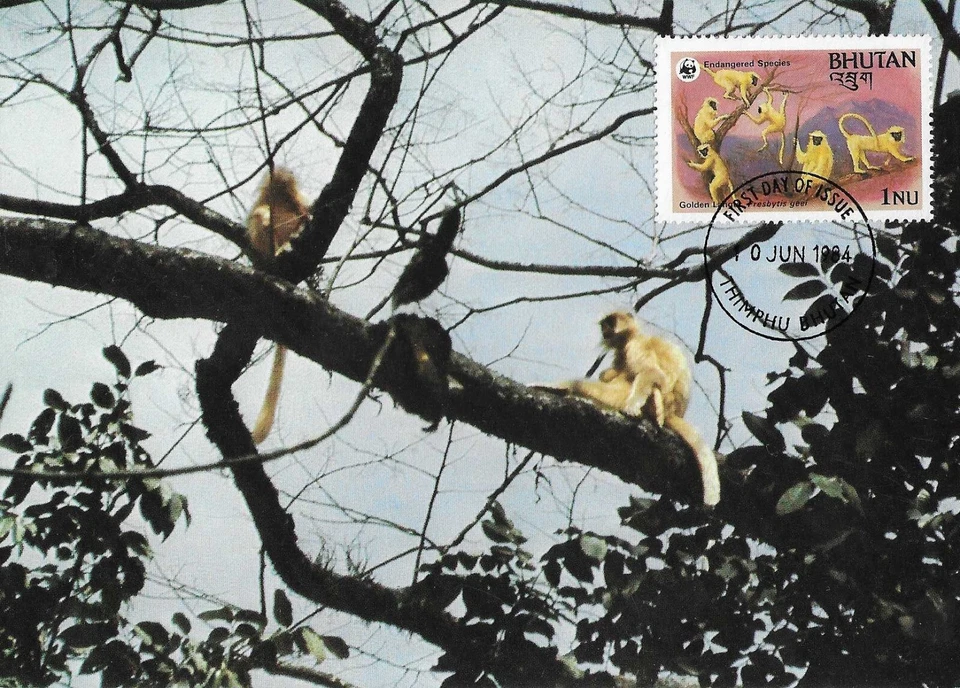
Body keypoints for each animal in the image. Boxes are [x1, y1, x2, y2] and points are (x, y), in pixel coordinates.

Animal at [532, 312, 720, 506]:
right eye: (604, 325)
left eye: (609, 323)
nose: (605, 330)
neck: (634, 336)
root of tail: (672, 413)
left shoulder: (634, 346)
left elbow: (652, 372)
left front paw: (632, 406)